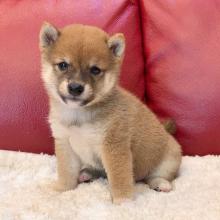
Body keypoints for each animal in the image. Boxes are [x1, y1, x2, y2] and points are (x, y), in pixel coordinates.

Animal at [39, 22, 182, 205]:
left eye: (95, 70)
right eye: (63, 65)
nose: (75, 87)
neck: (79, 114)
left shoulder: (114, 146)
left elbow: (119, 178)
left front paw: (123, 202)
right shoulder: (65, 143)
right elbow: (66, 172)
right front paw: (61, 189)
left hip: (169, 158)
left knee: (155, 176)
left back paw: (161, 183)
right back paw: (86, 173)